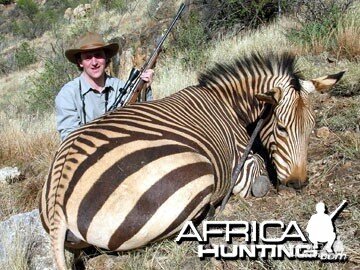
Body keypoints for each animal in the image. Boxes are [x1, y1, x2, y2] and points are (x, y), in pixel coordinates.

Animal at [39, 51, 344, 268]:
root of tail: (58, 198)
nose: (298, 183)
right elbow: (259, 178)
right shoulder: (242, 164)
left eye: (312, 126)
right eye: (281, 128)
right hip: (196, 175)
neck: (228, 104)